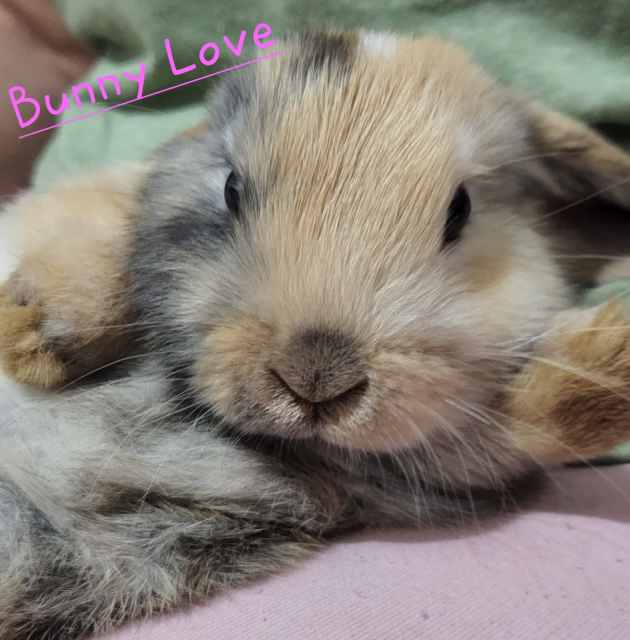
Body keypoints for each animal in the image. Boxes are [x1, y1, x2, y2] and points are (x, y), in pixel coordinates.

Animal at [1, 30, 630, 639]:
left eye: (461, 210)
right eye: (231, 188)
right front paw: (30, 337)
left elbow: (533, 419)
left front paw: (614, 354)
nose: (316, 374)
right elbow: (98, 231)